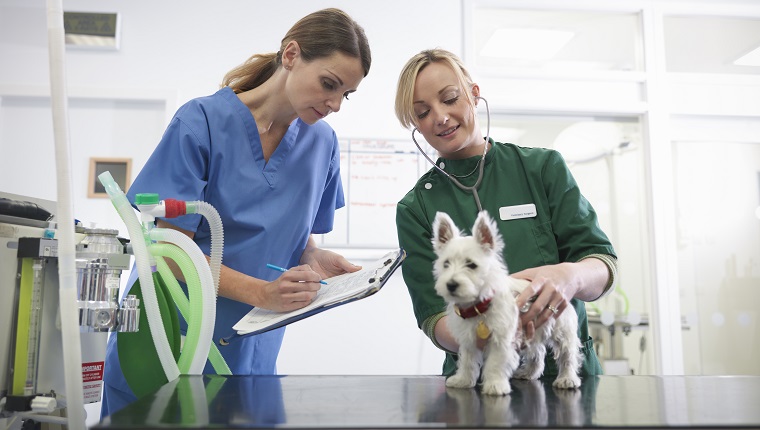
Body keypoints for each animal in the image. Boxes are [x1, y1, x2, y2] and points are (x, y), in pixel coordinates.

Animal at [434, 210, 580, 394]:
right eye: (446, 264)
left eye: (471, 265)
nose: (451, 285)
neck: (478, 306)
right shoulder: (468, 340)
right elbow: (467, 361)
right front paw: (463, 380)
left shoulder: (501, 338)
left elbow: (495, 363)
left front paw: (495, 385)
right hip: (534, 332)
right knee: (537, 354)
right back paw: (528, 373)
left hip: (562, 331)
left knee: (568, 356)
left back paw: (567, 379)